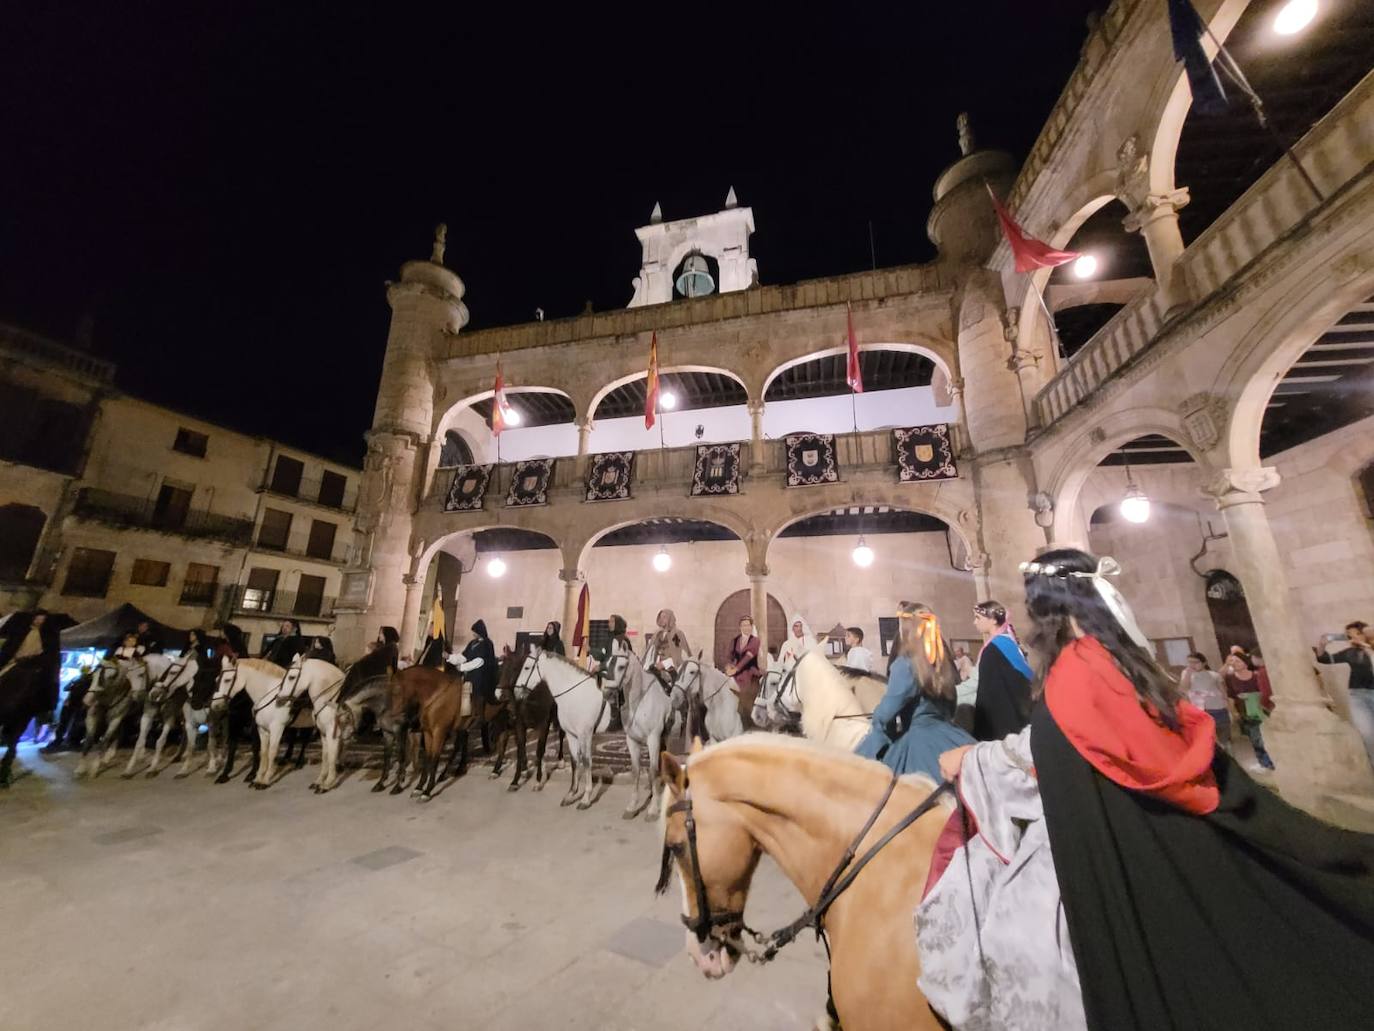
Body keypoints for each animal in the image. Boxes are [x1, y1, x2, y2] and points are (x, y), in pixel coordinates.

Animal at [212, 657, 348, 797]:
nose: (215, 705)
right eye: (216, 679)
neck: (267, 695)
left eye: (227, 680)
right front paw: (257, 778)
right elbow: (263, 752)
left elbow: (272, 751)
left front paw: (265, 780)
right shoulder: (262, 730)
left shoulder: (276, 728)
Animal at [513, 648, 610, 813]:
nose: (516, 691)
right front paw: (571, 794)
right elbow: (575, 761)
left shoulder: (585, 735)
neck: (576, 694)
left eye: (526, 667)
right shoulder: (572, 735)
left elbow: (586, 761)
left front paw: (585, 799)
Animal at [610, 646, 678, 824]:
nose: (607, 693)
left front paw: (653, 810)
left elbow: (653, 770)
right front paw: (632, 807)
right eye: (606, 663)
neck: (639, 701)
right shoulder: (632, 740)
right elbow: (636, 771)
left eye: (621, 666)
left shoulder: (653, 739)